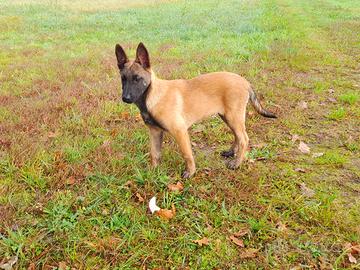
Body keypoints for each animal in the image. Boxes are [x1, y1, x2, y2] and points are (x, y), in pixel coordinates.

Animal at [114, 42, 276, 178]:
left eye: (137, 78)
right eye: (123, 79)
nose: (125, 98)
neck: (152, 96)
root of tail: (244, 81)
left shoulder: (179, 131)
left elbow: (186, 154)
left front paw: (190, 172)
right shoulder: (154, 132)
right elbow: (155, 154)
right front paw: (153, 172)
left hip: (233, 116)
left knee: (244, 139)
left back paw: (236, 163)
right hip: (228, 116)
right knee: (238, 136)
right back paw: (231, 152)